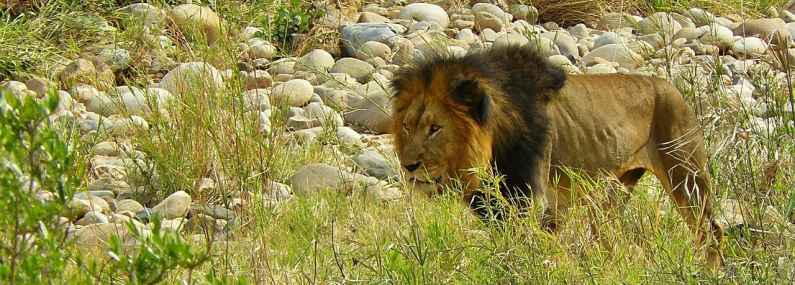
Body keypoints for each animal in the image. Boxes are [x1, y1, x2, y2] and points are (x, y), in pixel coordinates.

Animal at [388, 45, 724, 268]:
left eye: (435, 128)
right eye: (407, 126)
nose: (409, 165)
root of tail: (671, 86)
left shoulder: (532, 200)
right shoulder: (494, 205)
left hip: (687, 179)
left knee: (710, 231)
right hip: (615, 191)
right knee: (606, 237)